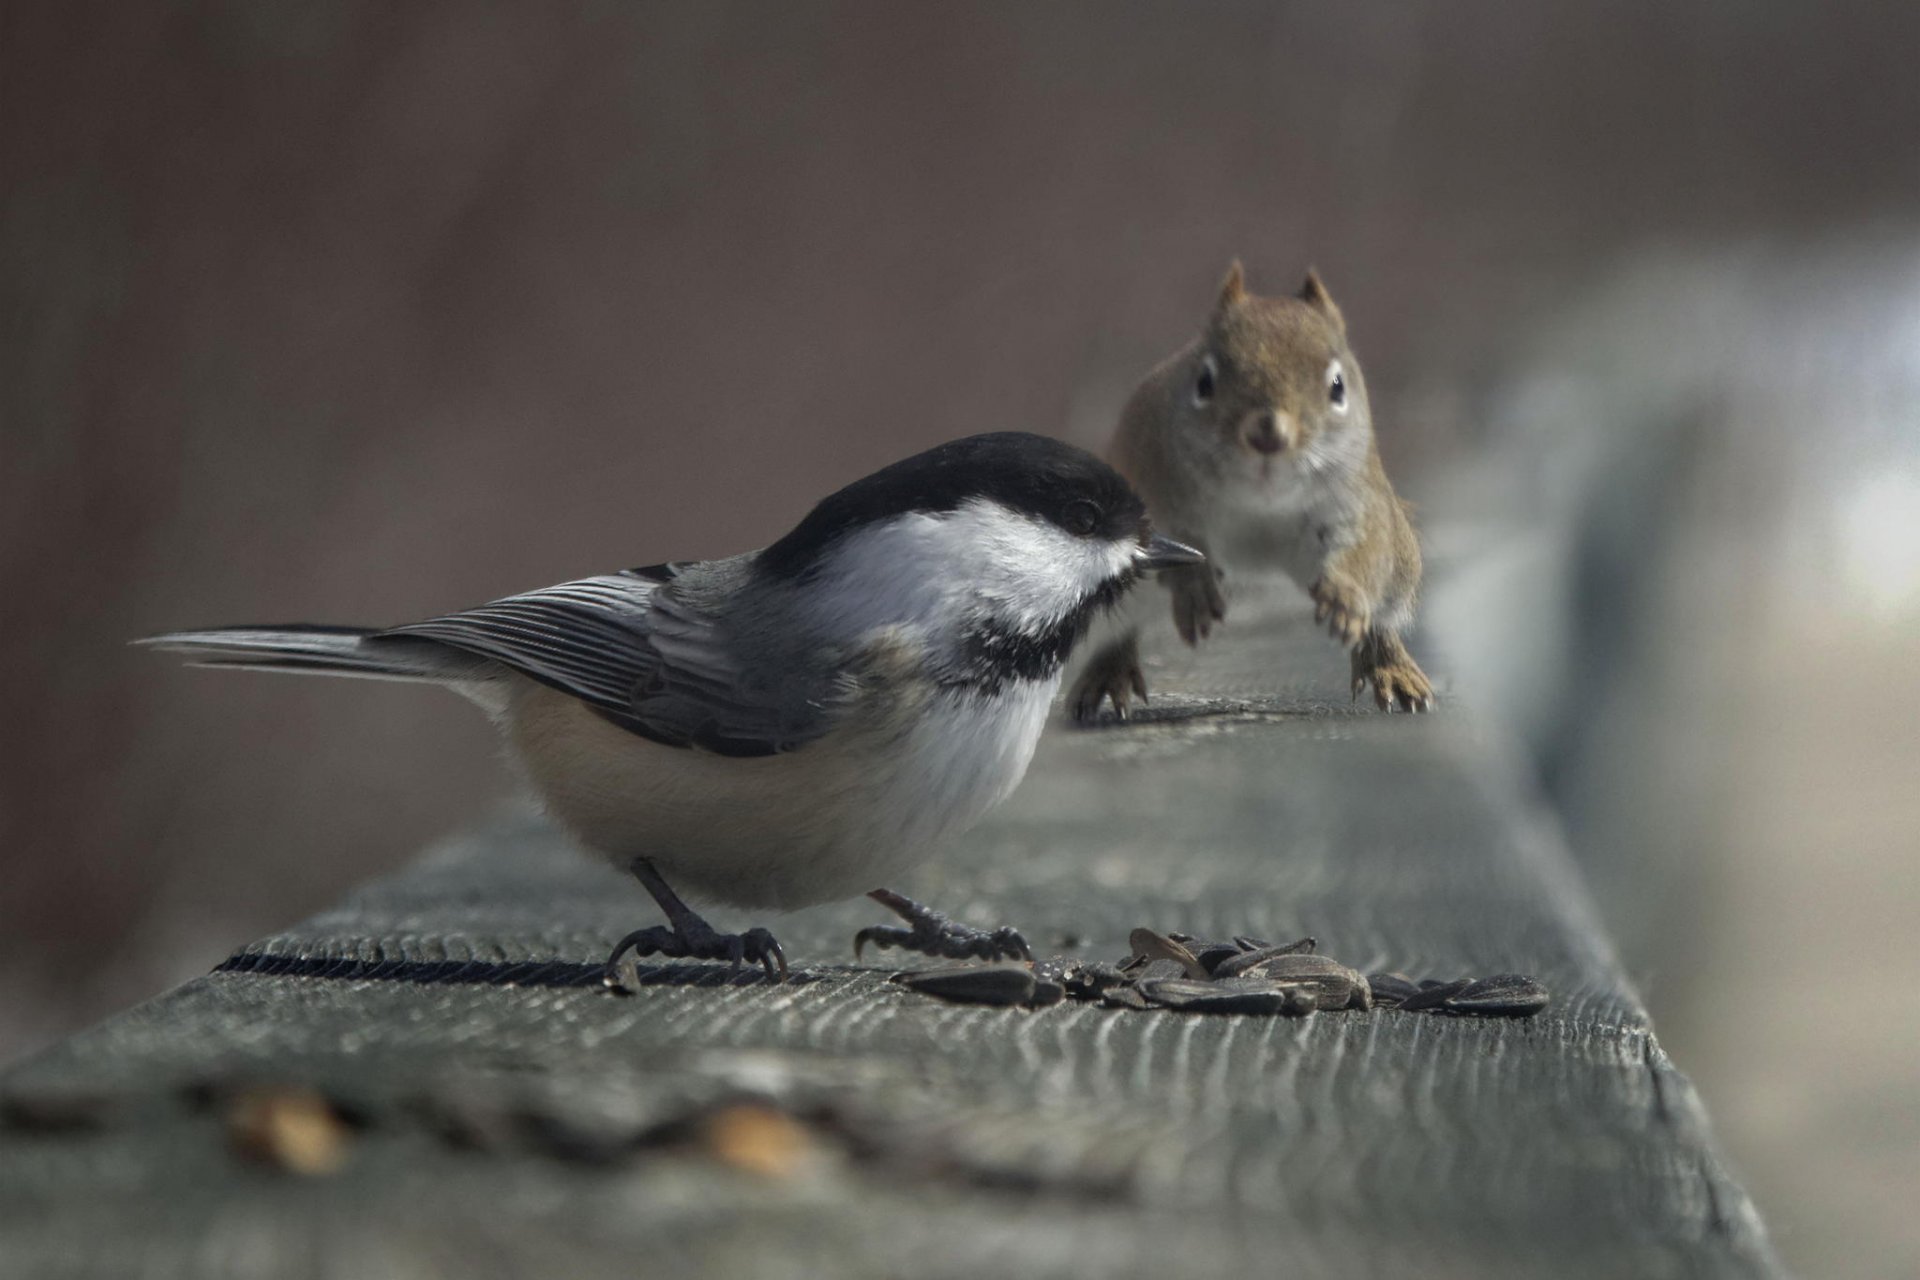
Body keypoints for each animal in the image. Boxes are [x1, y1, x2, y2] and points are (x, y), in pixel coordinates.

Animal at [1075, 262, 1436, 721]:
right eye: (1204, 382)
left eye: (1337, 386)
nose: (1268, 432)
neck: (1262, 502)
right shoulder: (1152, 482)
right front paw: (1193, 587)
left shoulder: (1357, 502)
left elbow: (1363, 552)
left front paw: (1344, 596)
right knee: (1117, 632)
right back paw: (1109, 672)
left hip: (1400, 563)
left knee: (1383, 618)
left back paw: (1389, 665)